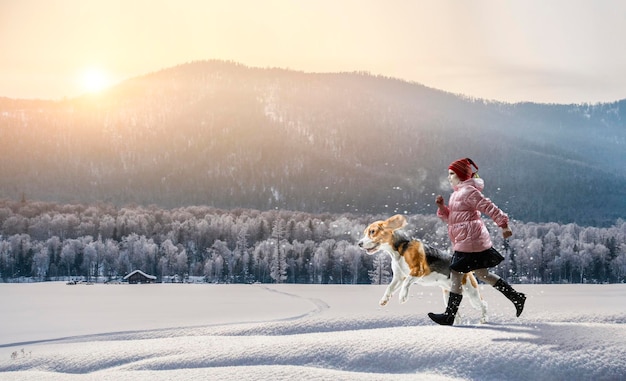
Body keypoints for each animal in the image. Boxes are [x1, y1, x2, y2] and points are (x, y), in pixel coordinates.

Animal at [356, 215, 488, 322]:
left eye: (372, 232)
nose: (359, 244)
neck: (399, 249)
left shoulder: (417, 271)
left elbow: (406, 282)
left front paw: (403, 296)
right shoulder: (399, 277)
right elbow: (390, 288)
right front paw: (384, 299)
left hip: (471, 293)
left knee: (484, 304)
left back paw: (484, 319)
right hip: (449, 295)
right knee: (455, 312)